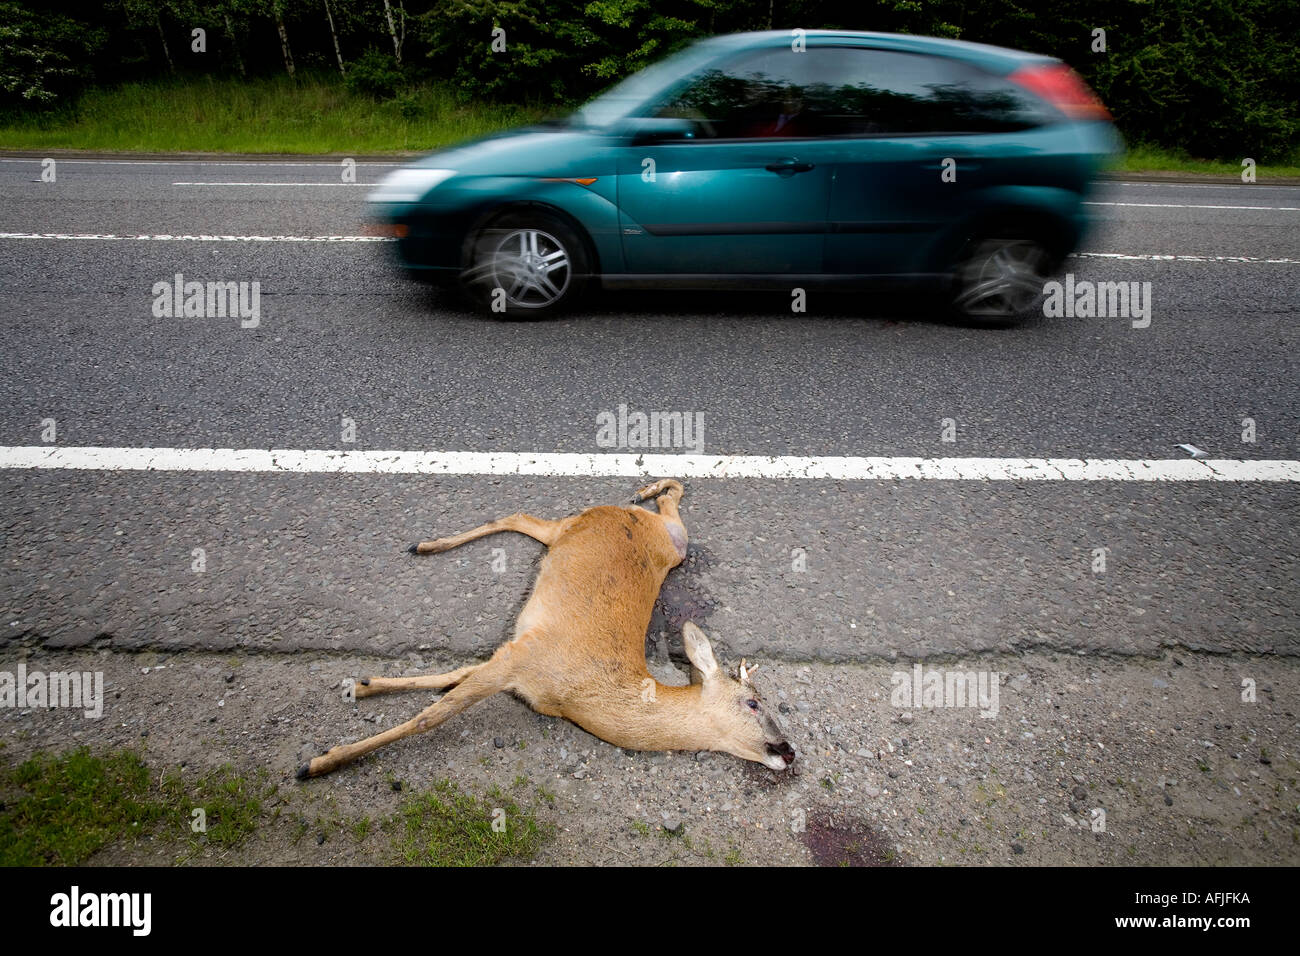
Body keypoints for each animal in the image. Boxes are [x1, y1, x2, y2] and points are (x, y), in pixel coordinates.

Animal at [299, 481, 795, 780]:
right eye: (753, 702)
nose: (789, 750)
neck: (579, 696)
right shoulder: (521, 657)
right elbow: (431, 715)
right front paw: (320, 762)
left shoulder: (515, 654)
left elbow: (451, 677)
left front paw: (364, 684)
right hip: (589, 529)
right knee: (520, 516)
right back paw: (427, 544)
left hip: (660, 542)